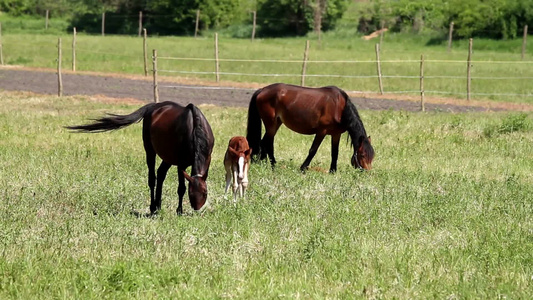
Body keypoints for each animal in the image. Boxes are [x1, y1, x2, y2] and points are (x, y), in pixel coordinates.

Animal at [66, 102, 214, 214]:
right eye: (191, 192)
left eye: (205, 192)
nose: (197, 208)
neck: (195, 130)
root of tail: (153, 106)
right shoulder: (181, 164)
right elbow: (180, 188)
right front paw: (179, 211)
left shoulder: (206, 161)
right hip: (150, 151)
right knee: (152, 178)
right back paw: (153, 207)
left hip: (167, 157)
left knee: (161, 173)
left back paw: (158, 206)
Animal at [246, 83, 374, 172]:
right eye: (362, 155)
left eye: (372, 156)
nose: (366, 172)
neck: (339, 108)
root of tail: (262, 90)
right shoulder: (321, 132)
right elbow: (313, 150)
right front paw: (303, 168)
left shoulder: (336, 134)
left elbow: (335, 152)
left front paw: (333, 171)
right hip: (271, 124)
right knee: (267, 143)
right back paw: (272, 165)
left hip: (276, 123)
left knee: (265, 142)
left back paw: (263, 163)